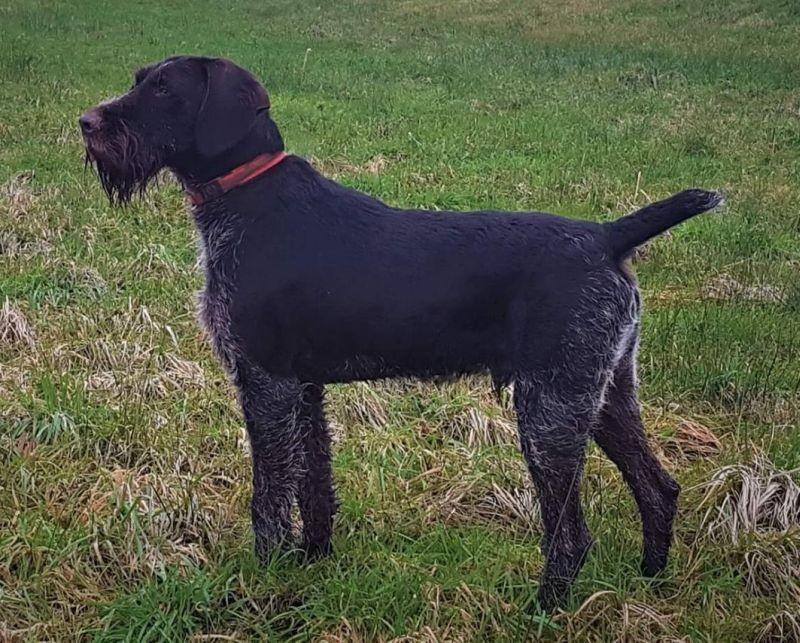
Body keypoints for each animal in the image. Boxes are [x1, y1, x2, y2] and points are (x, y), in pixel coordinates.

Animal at [81, 55, 724, 608]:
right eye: (140, 79)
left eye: (163, 88)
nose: (86, 123)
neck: (248, 198)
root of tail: (606, 237)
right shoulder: (303, 389)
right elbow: (315, 484)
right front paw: (314, 563)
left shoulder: (266, 384)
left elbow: (269, 498)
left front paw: (264, 580)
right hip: (605, 395)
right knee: (658, 489)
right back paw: (650, 579)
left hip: (549, 413)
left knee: (570, 533)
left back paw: (545, 608)